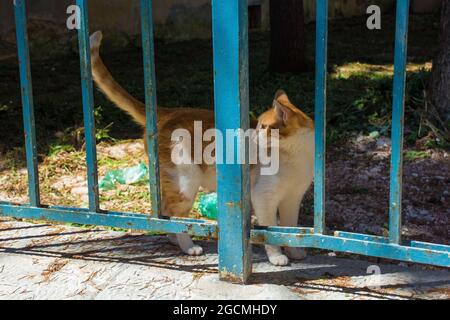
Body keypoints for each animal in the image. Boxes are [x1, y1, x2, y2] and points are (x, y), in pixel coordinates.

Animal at [88, 31, 312, 266]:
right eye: (257, 124)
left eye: (264, 126)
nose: (250, 133)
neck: (295, 156)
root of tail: (170, 112)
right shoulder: (263, 198)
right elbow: (270, 232)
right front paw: (277, 256)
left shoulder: (292, 199)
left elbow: (289, 229)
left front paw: (295, 252)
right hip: (186, 182)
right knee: (177, 214)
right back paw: (188, 247)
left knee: (167, 212)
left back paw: (173, 239)